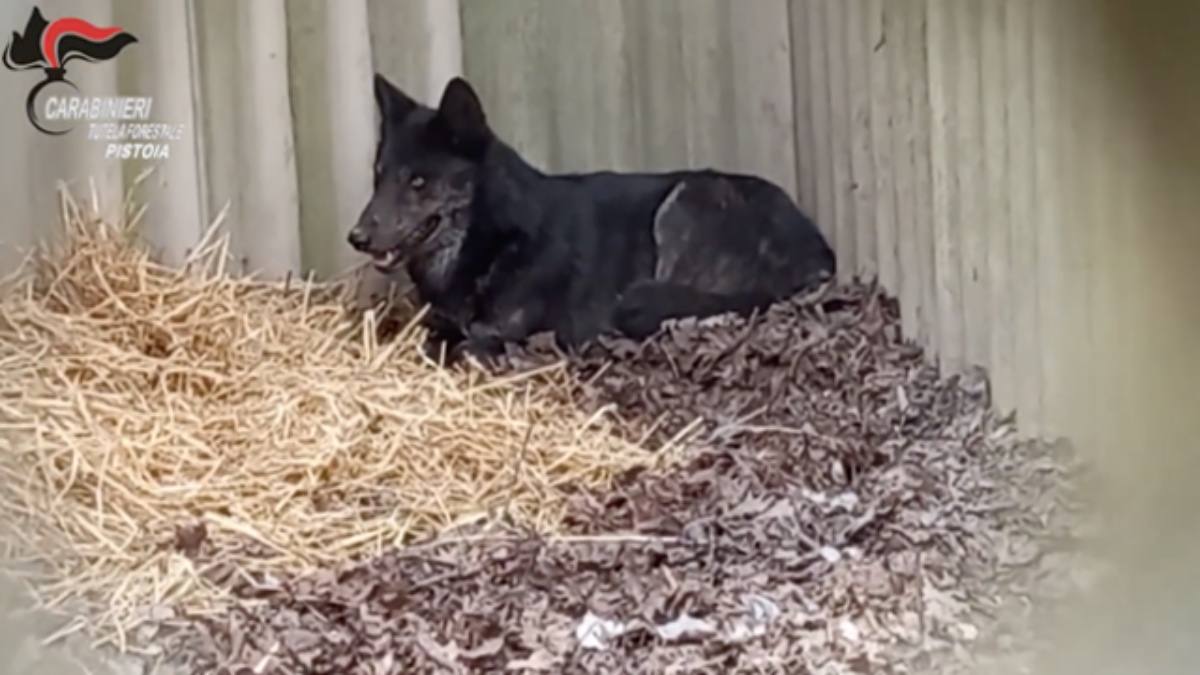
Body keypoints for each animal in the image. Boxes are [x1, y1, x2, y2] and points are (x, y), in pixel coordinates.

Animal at [348, 73, 835, 362]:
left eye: (418, 181)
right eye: (378, 176)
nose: (356, 238)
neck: (494, 237)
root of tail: (819, 253)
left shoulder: (503, 331)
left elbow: (456, 346)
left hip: (685, 200)